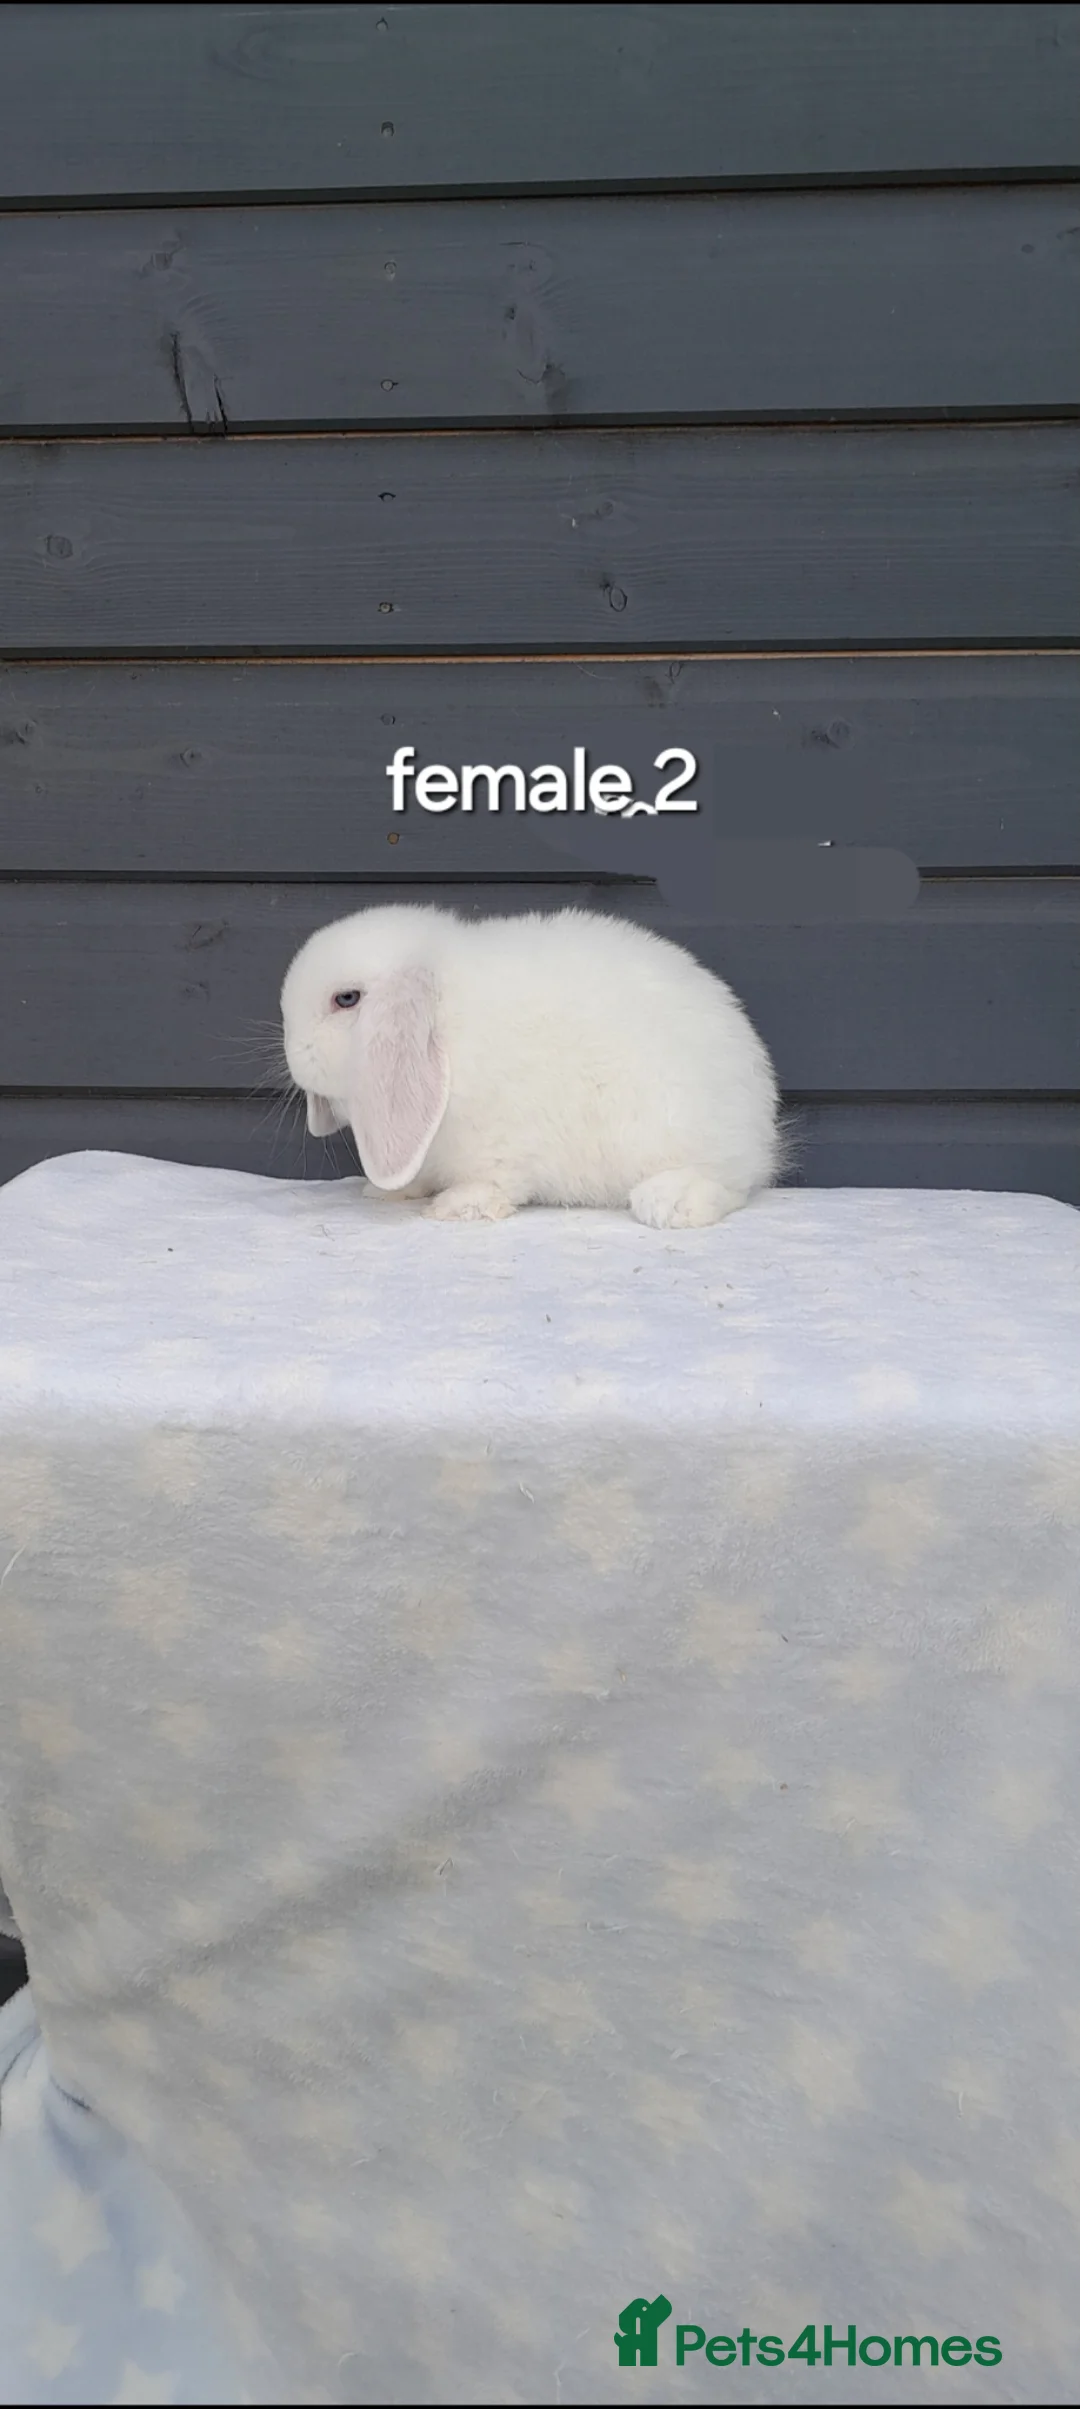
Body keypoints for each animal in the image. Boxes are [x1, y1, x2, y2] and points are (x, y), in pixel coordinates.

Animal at [280, 903, 779, 1227]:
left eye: (346, 999)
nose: (295, 1054)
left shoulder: (500, 1140)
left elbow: (496, 1177)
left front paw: (459, 1207)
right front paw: (393, 1191)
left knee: (730, 1184)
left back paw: (668, 1203)